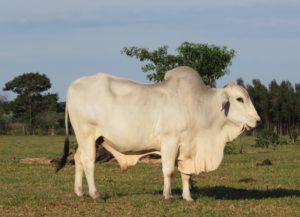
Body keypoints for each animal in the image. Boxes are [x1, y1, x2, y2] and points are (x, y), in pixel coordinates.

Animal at [56, 66, 260, 202]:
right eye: (240, 99)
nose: (257, 120)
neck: (198, 106)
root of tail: (73, 85)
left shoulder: (187, 149)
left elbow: (186, 175)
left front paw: (188, 197)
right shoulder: (170, 141)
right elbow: (168, 170)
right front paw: (168, 195)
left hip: (92, 139)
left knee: (78, 158)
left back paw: (79, 192)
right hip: (86, 134)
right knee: (89, 162)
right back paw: (94, 193)